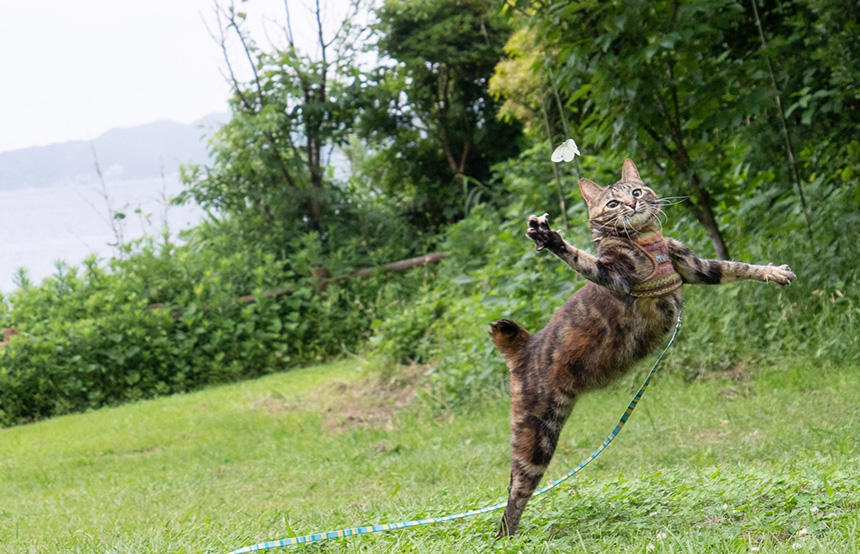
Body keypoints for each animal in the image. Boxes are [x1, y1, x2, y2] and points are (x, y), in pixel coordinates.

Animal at [488, 156, 796, 536]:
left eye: (635, 191)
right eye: (612, 203)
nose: (632, 205)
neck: (648, 242)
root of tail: (525, 347)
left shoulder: (697, 268)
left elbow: (736, 266)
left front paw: (774, 272)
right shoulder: (614, 275)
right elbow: (582, 259)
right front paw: (551, 237)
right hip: (537, 433)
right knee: (516, 490)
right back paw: (508, 536)